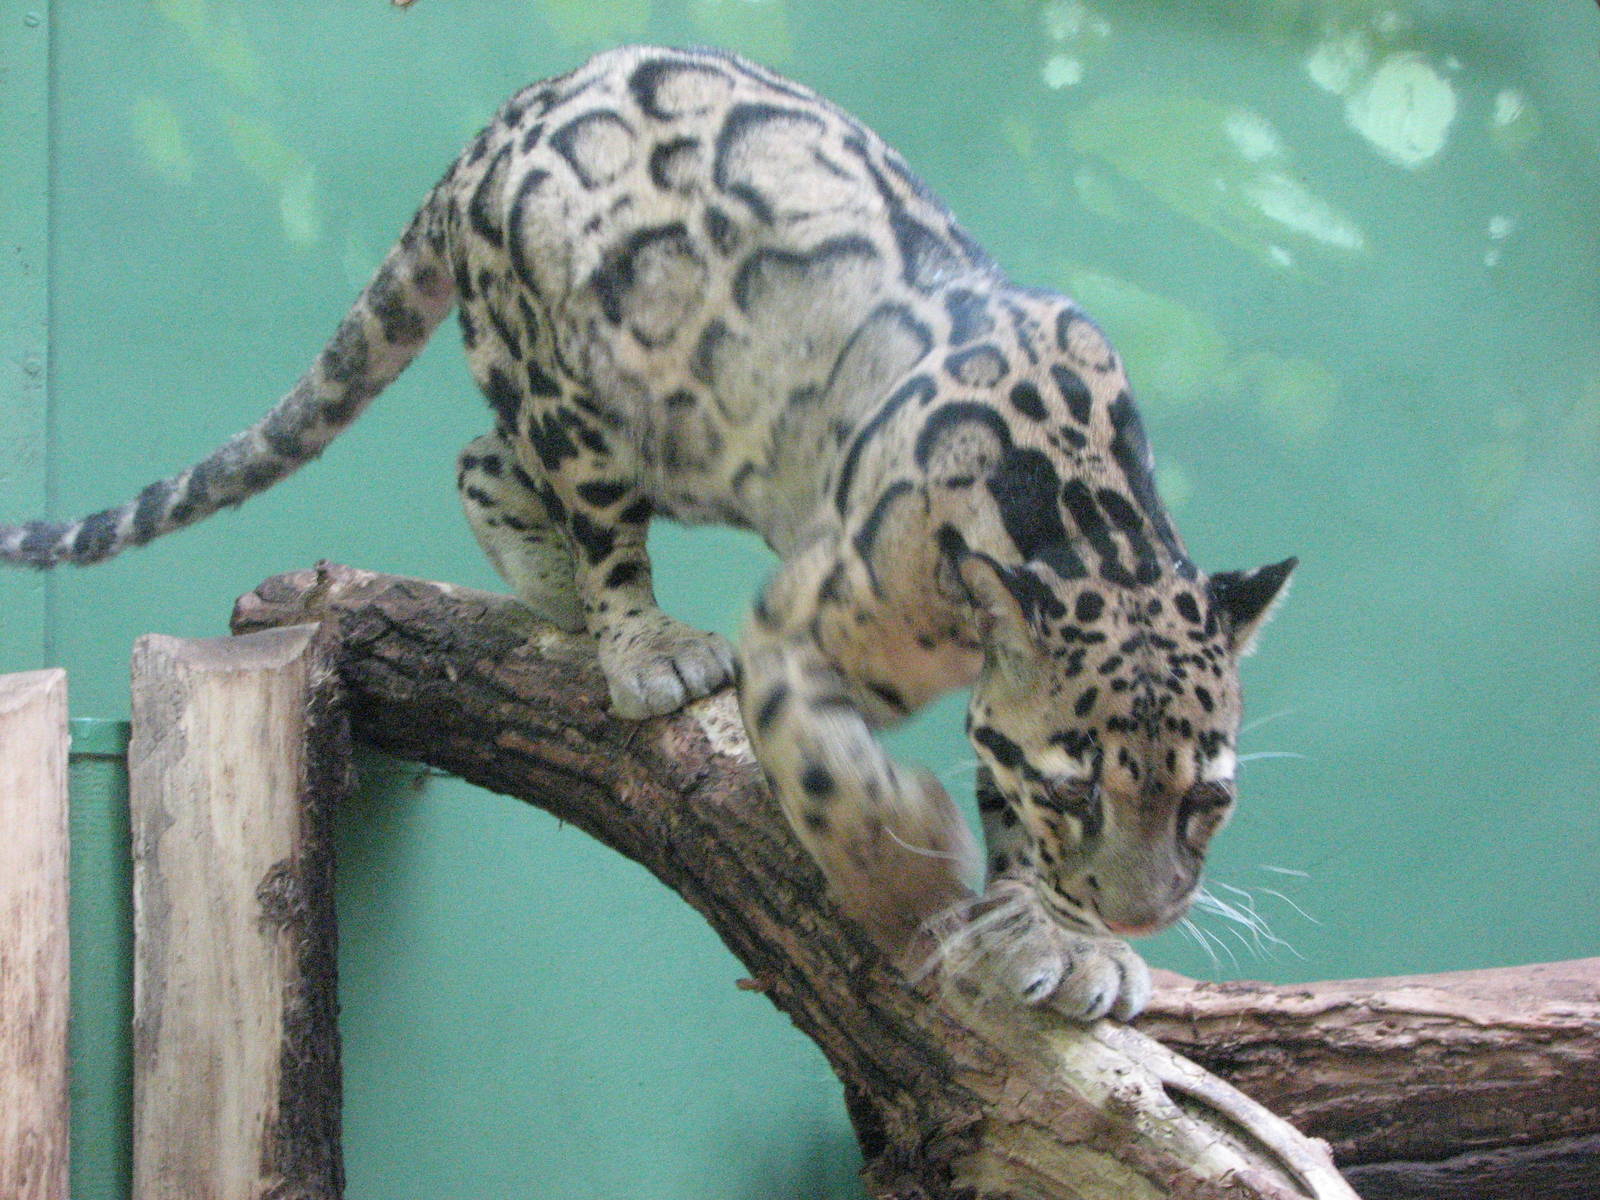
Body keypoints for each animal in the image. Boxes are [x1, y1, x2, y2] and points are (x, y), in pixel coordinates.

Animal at [1, 46, 1294, 1022]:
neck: (1085, 518)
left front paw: (1063, 939)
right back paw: (630, 636)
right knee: (545, 494)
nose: (1142, 908)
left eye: (1205, 801)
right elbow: (825, 767)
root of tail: (502, 121)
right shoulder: (802, 620)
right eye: (1079, 791)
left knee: (483, 459)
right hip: (595, 403)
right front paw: (903, 875)